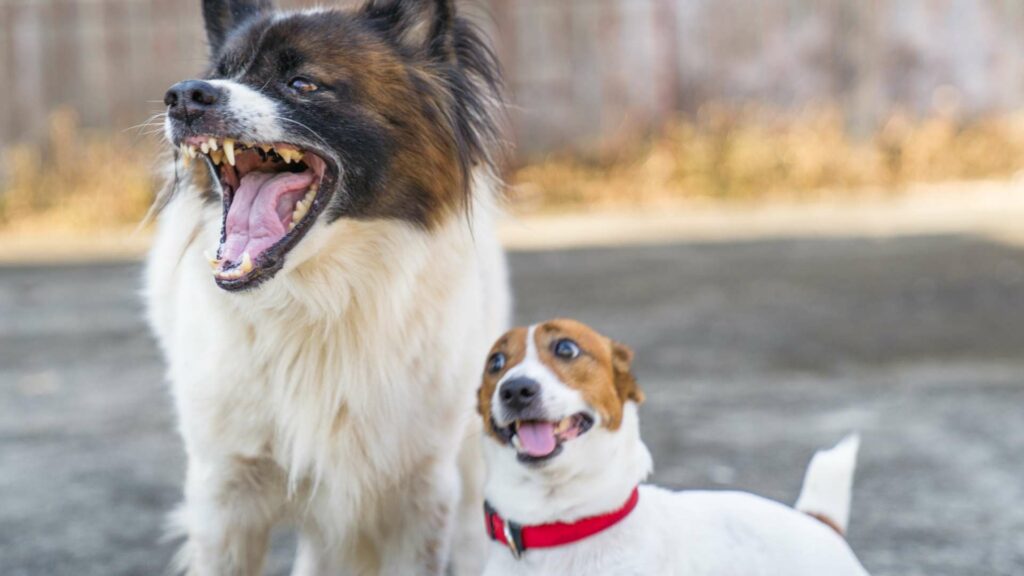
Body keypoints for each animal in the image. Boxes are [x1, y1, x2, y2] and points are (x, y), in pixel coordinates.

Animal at [147, 2, 507, 569]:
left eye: (302, 84)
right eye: (222, 73)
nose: (183, 96)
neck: (318, 301)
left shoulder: (421, 493)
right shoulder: (224, 495)